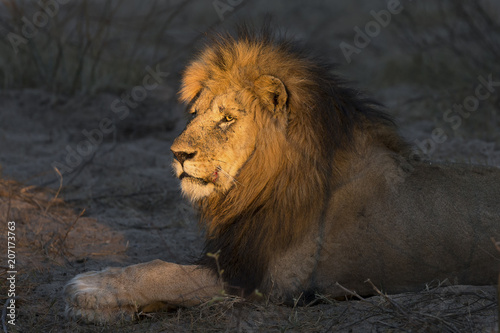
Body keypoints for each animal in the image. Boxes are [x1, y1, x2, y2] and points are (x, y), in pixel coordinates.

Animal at [63, 27, 500, 322]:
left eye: (227, 118)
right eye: (195, 114)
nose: (177, 154)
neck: (258, 185)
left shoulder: (268, 283)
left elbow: (165, 272)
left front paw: (92, 287)